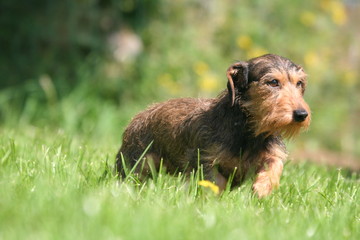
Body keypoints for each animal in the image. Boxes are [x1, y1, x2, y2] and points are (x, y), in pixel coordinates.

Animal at [114, 54, 310, 197]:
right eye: (273, 82)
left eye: (299, 83)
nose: (301, 114)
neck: (248, 132)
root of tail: (138, 117)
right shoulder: (205, 159)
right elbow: (215, 181)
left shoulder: (273, 152)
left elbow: (275, 164)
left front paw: (263, 187)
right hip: (137, 163)